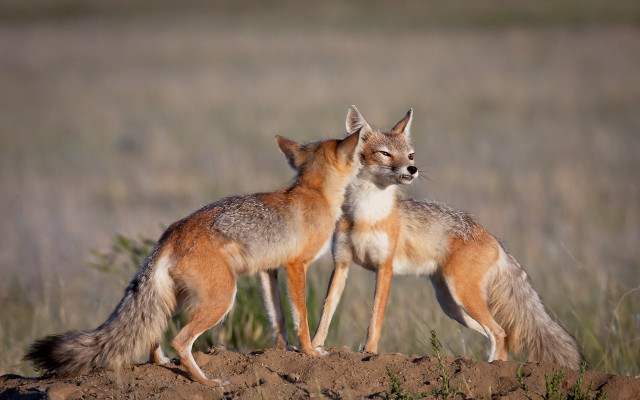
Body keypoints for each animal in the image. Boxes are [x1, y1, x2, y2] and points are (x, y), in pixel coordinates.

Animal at [25, 130, 362, 387]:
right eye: (357, 156)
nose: (364, 161)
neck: (314, 192)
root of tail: (173, 231)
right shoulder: (296, 267)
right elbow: (301, 317)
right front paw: (309, 351)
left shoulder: (269, 271)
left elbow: (276, 318)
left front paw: (282, 351)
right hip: (221, 298)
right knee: (181, 340)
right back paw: (207, 383)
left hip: (175, 301)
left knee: (152, 334)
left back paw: (162, 362)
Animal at [308, 106, 584, 369]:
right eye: (385, 153)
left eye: (410, 155)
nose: (412, 169)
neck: (365, 215)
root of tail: (493, 238)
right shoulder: (341, 264)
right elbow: (325, 312)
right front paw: (314, 347)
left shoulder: (384, 269)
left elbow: (375, 317)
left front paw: (370, 352)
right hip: (451, 304)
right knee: (500, 335)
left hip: (462, 294)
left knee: (499, 332)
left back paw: (490, 367)